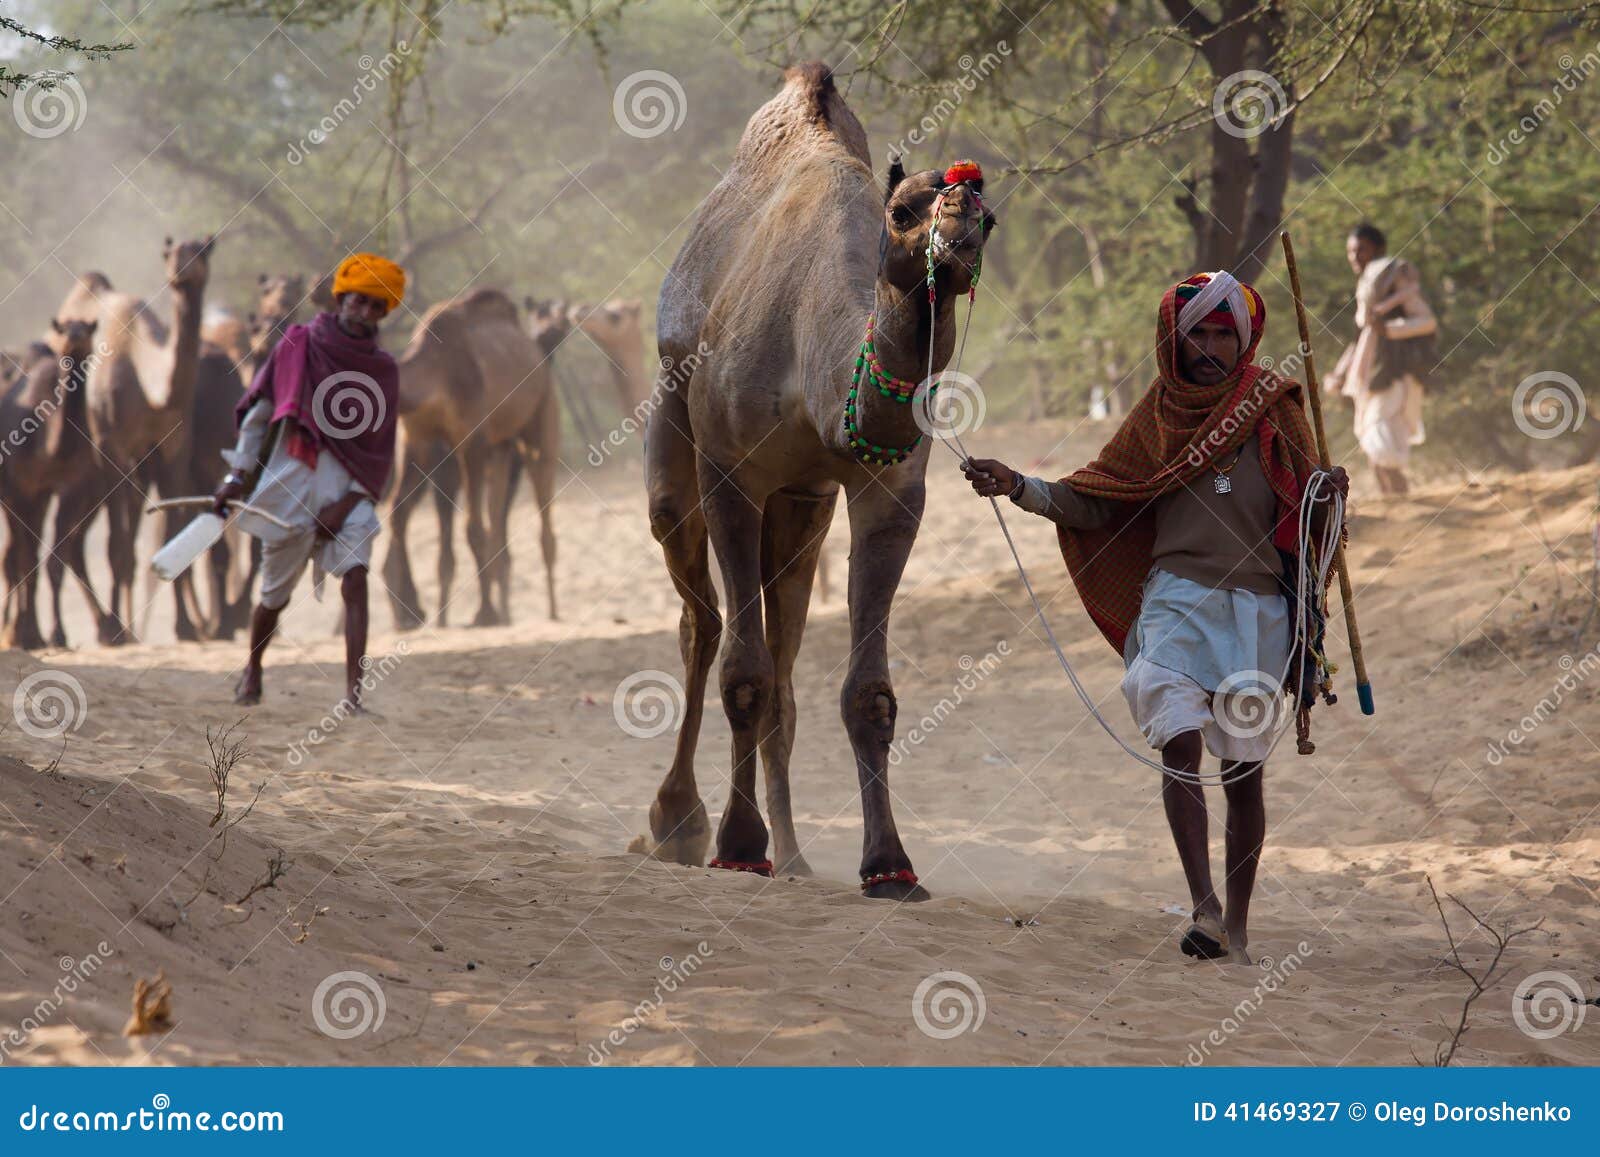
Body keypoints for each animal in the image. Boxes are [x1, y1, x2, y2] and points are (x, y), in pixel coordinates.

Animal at [384, 289, 560, 633]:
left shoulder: (472, 440)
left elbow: (473, 528)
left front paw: (485, 614)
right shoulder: (416, 440)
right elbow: (397, 515)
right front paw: (413, 613)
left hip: (541, 414)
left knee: (541, 485)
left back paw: (552, 610)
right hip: (501, 445)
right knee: (497, 513)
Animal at [630, 61, 992, 902]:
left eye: (990, 218)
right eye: (902, 210)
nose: (959, 221)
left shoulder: (887, 491)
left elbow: (869, 693)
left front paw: (889, 864)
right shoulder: (730, 470)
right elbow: (743, 673)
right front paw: (736, 844)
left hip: (804, 507)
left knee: (785, 659)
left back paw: (792, 853)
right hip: (675, 430)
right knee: (701, 622)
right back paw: (676, 823)